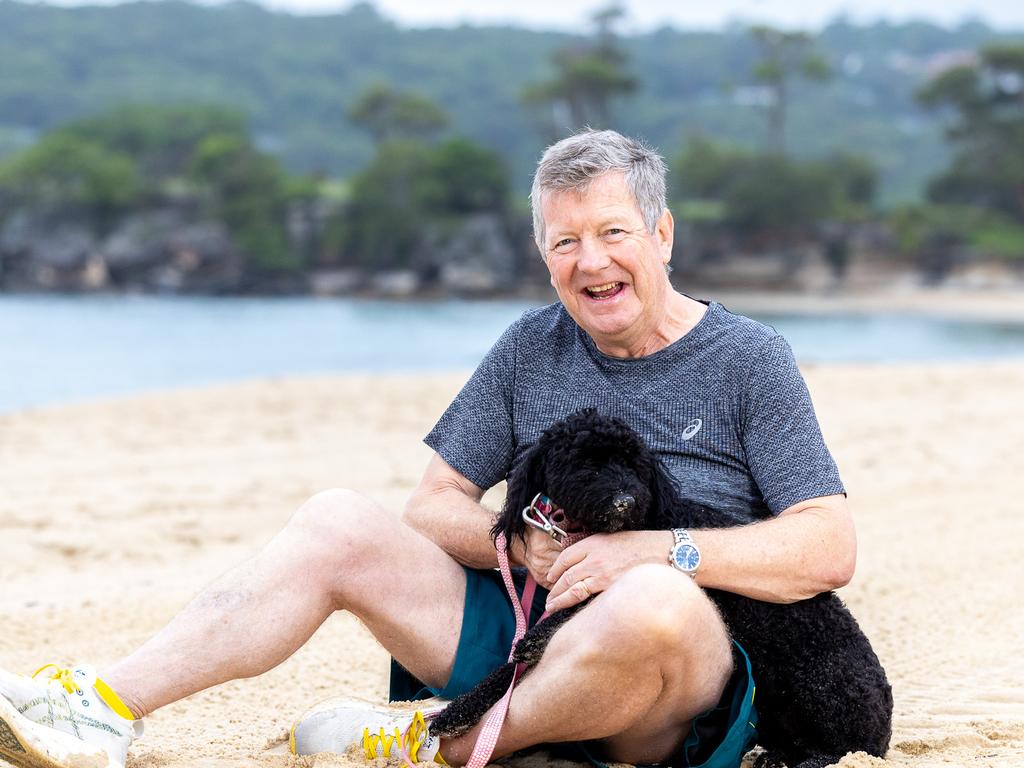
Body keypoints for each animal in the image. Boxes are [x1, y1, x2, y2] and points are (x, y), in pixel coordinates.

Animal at [428, 411, 892, 765]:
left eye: (634, 465)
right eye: (585, 465)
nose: (624, 500)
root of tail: (884, 721)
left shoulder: (597, 583)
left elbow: (533, 644)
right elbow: (509, 669)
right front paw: (457, 711)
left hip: (822, 689)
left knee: (845, 750)